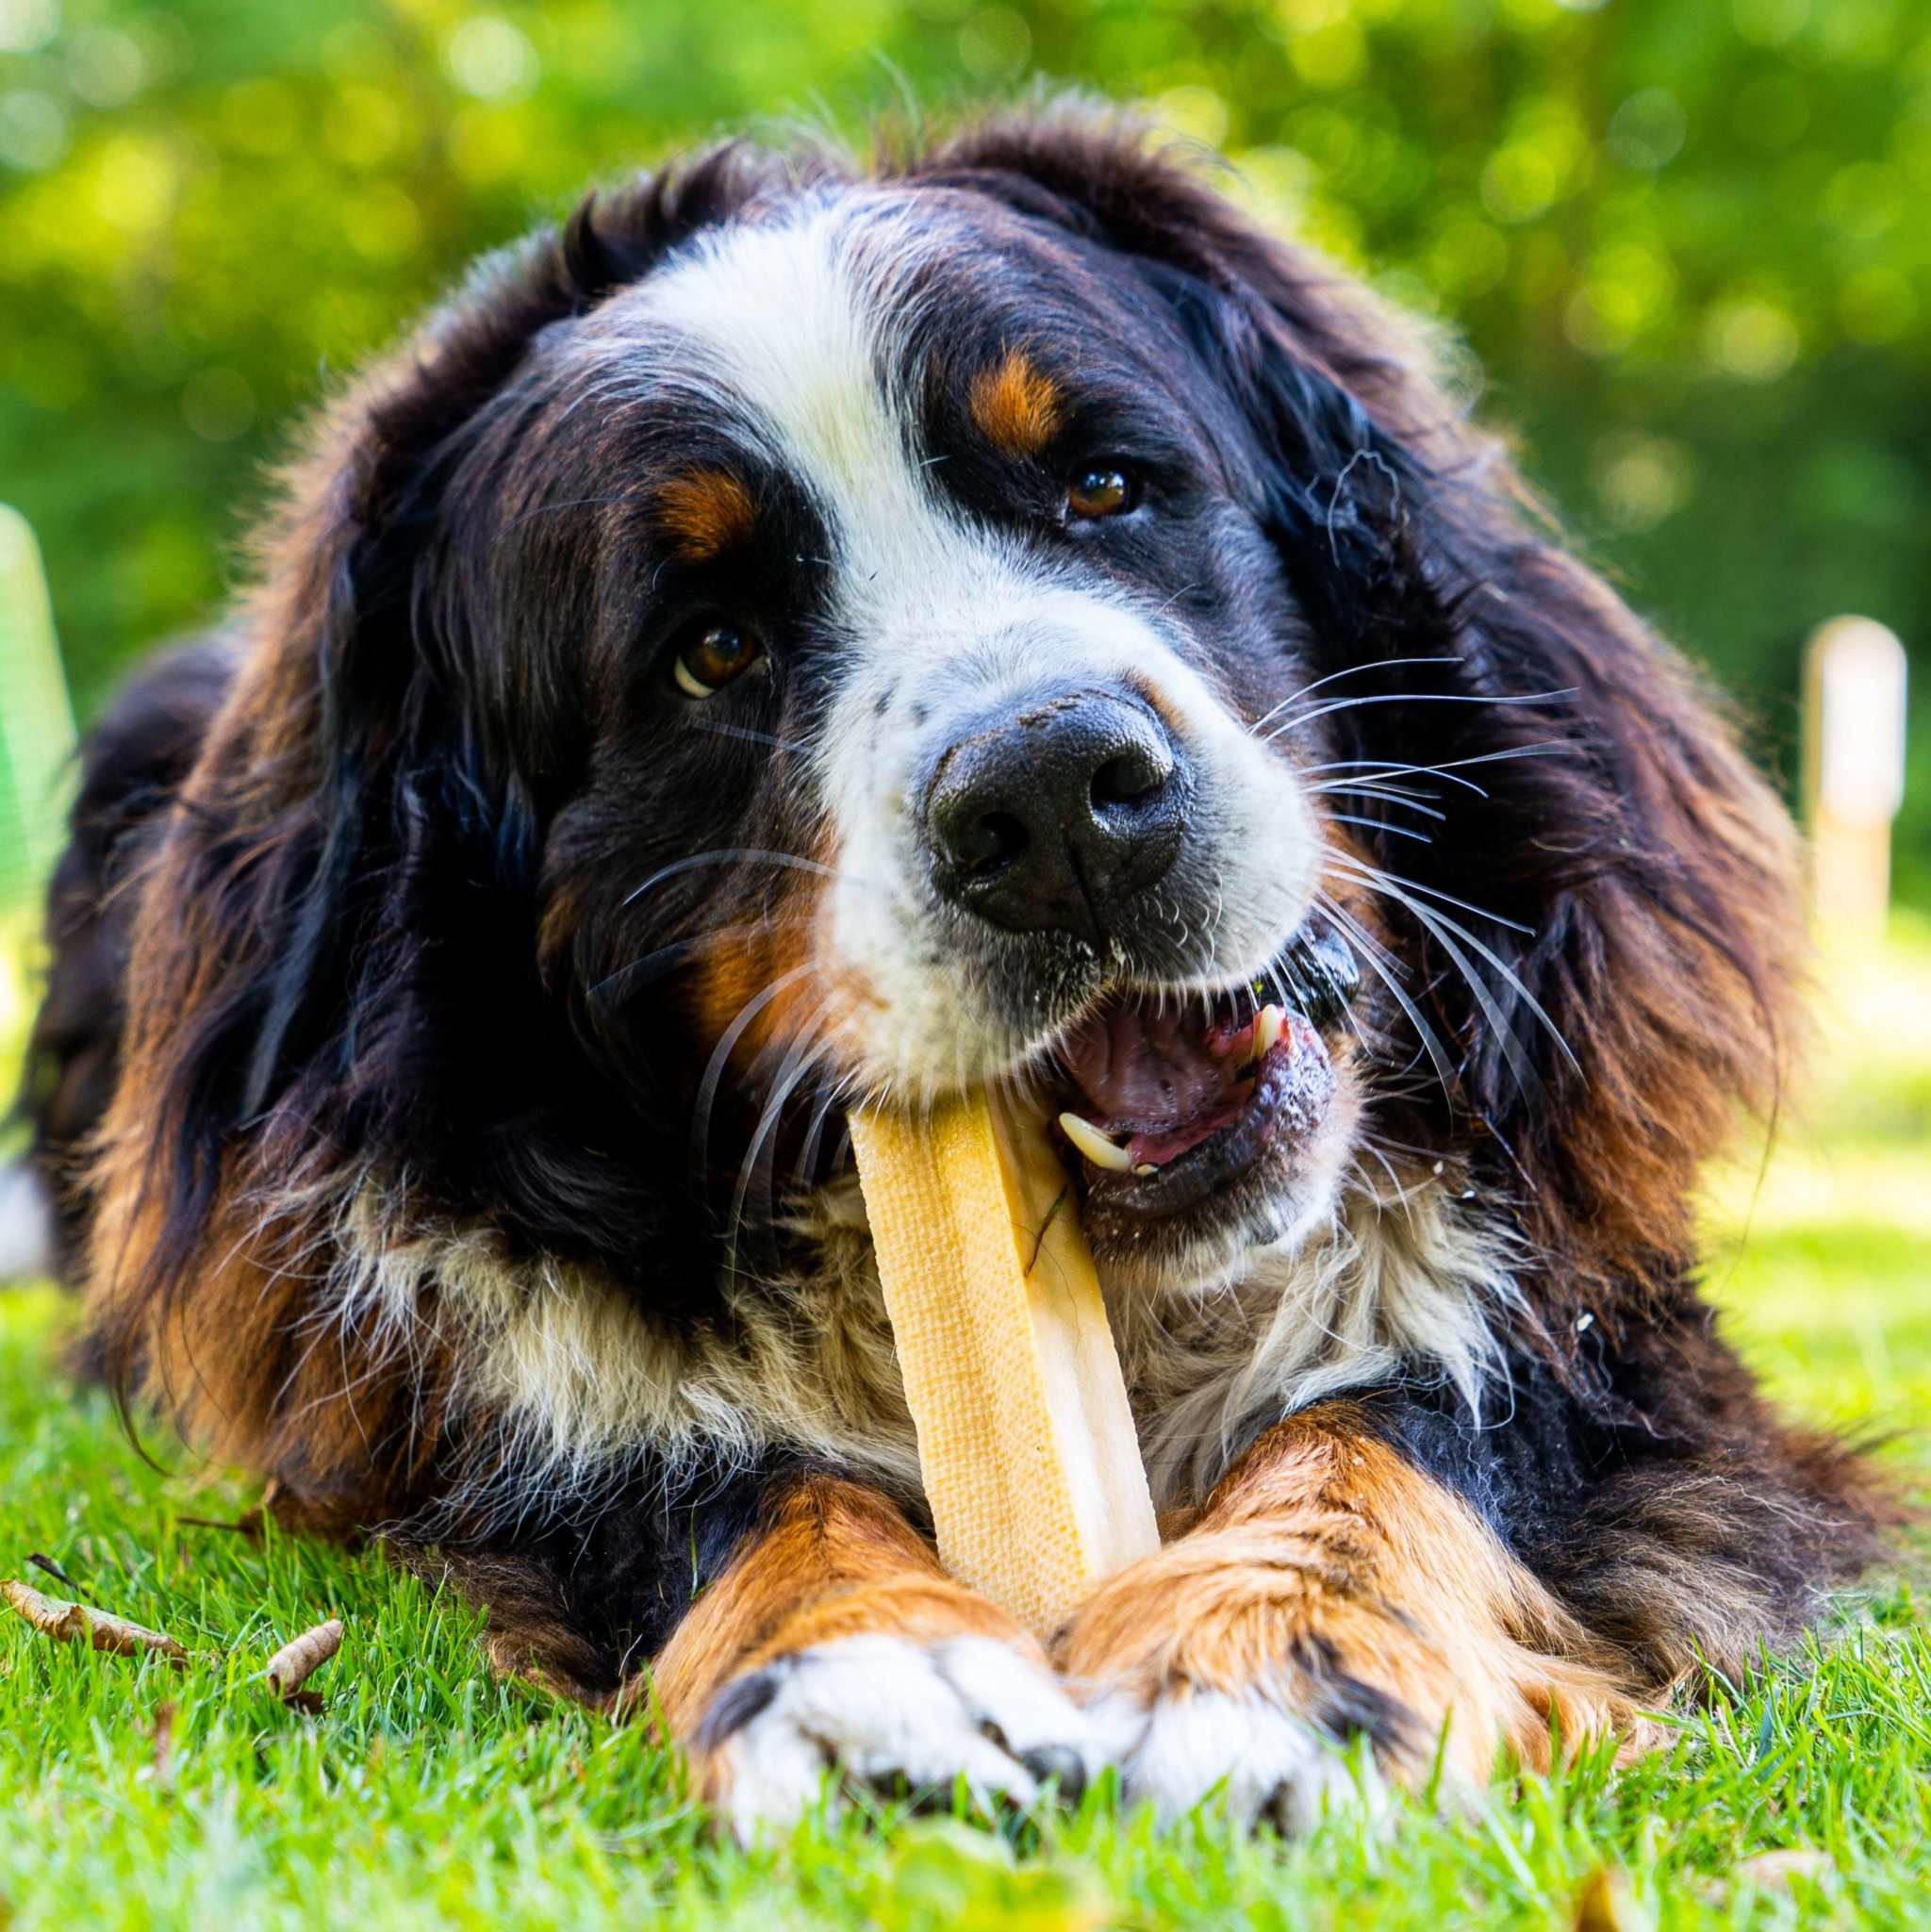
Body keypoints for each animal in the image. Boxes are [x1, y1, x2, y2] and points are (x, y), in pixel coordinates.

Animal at [15, 109, 1884, 1839]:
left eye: (1105, 487)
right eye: (710, 650)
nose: (1052, 794)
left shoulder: (1600, 1324)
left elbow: (1395, 1423)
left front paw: (1268, 1659)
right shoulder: (469, 1409)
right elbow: (718, 1478)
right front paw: (867, 1673)